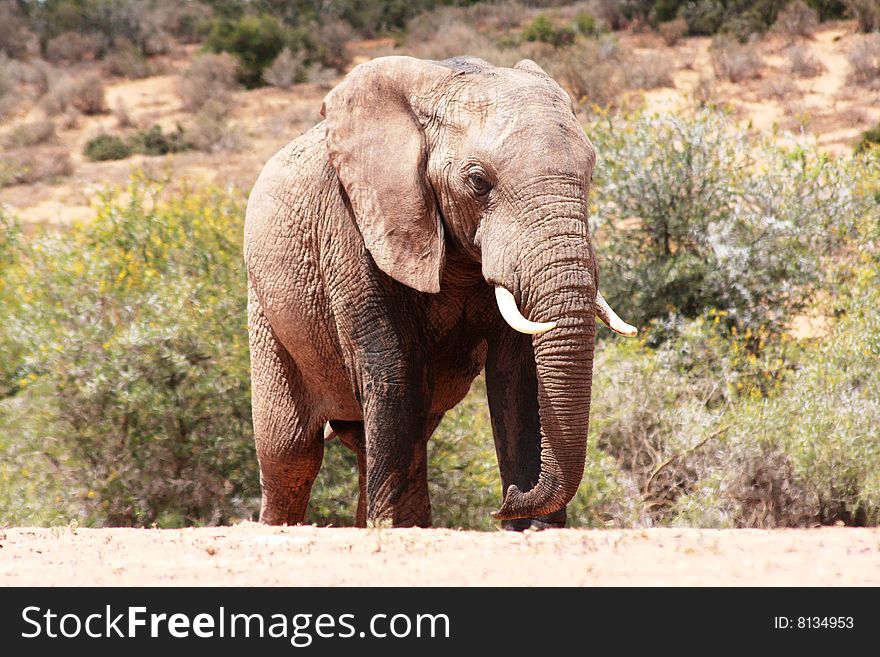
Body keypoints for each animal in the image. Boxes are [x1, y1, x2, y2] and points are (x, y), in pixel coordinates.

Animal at [244, 55, 636, 528]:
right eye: (478, 181)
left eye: (591, 175)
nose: (504, 503)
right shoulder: (355, 226)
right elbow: (395, 369)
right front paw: (402, 528)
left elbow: (516, 374)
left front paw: (534, 529)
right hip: (266, 307)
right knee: (291, 453)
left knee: (364, 441)